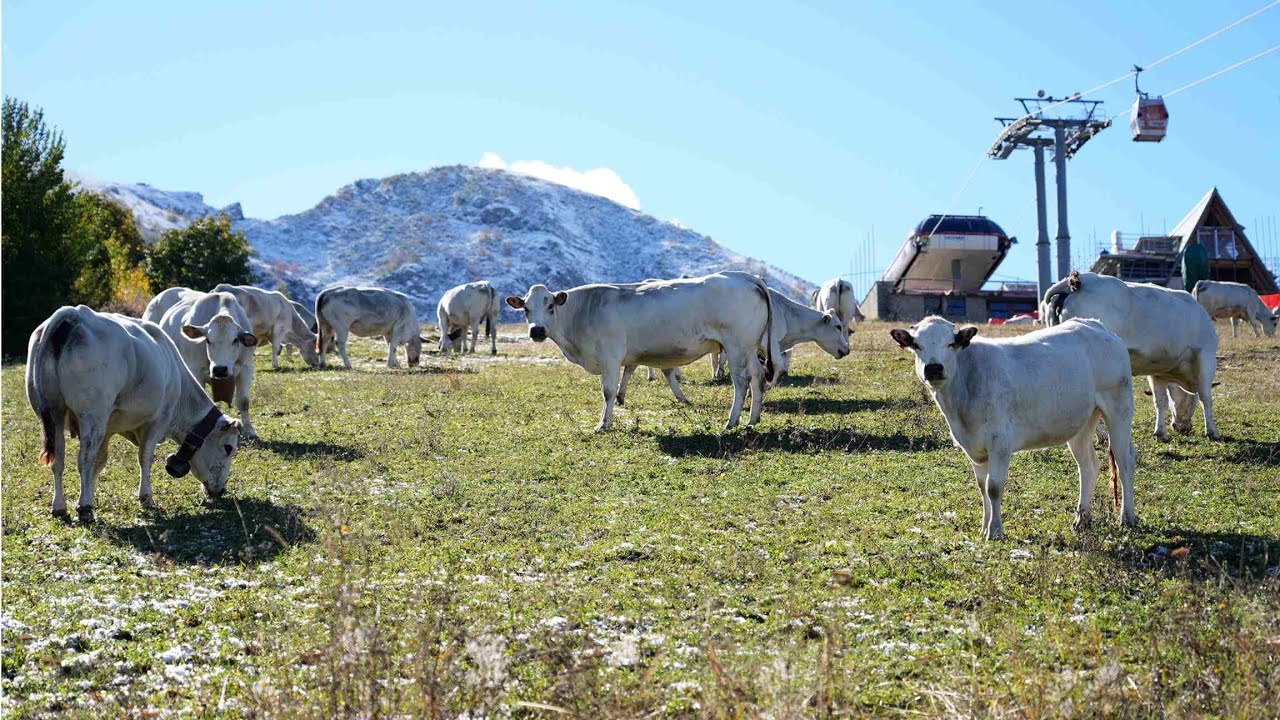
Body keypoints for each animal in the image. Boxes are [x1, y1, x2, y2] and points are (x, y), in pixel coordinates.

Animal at [26, 306, 244, 523]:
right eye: (228, 448)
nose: (221, 490)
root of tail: (73, 314)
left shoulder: (107, 429)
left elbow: (100, 461)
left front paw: (89, 493)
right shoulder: (156, 422)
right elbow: (145, 458)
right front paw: (146, 498)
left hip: (53, 414)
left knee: (59, 460)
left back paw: (59, 507)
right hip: (91, 417)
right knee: (84, 459)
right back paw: (85, 509)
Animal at [158, 291, 261, 439]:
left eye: (235, 340)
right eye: (207, 340)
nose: (220, 369)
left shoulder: (246, 367)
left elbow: (243, 401)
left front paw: (249, 430)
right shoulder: (195, 370)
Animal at [505, 272, 783, 431]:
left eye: (550, 305)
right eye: (526, 309)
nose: (537, 330)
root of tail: (744, 277)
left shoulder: (610, 355)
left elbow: (608, 392)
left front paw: (603, 424)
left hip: (736, 346)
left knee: (741, 382)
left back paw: (732, 420)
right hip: (749, 348)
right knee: (758, 378)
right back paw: (752, 420)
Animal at [890, 316, 1137, 540]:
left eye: (951, 343)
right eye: (916, 345)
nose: (933, 368)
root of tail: (1096, 325)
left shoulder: (1000, 443)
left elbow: (994, 487)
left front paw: (995, 531)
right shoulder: (974, 448)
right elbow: (982, 487)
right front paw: (983, 528)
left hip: (1119, 408)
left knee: (1125, 461)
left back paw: (1127, 517)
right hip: (1081, 423)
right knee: (1088, 466)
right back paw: (1081, 519)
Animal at [1044, 271, 1220, 441]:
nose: (1182, 428)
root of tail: (1076, 282)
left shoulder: (1157, 373)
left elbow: (1160, 402)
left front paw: (1160, 432)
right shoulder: (1206, 356)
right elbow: (1205, 397)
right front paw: (1212, 431)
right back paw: (1103, 436)